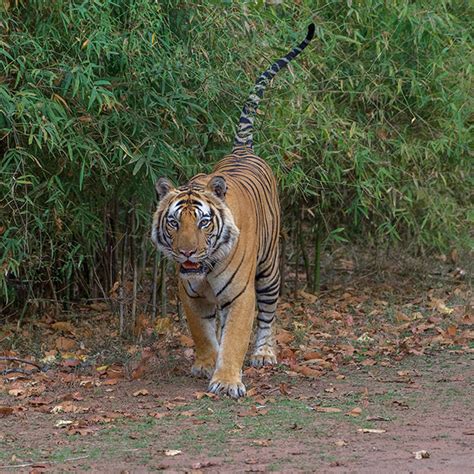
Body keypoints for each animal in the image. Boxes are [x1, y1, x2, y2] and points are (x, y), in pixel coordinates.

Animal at [152, 24, 314, 398]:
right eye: (174, 222)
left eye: (203, 223)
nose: (187, 253)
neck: (205, 269)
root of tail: (243, 148)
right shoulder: (190, 293)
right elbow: (203, 333)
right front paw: (205, 363)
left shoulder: (241, 294)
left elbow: (236, 336)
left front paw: (227, 380)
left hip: (269, 270)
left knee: (268, 314)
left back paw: (265, 354)